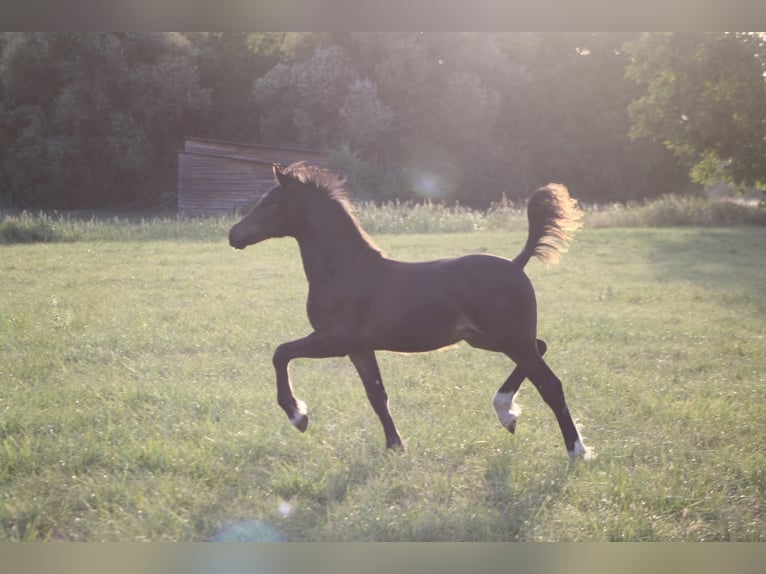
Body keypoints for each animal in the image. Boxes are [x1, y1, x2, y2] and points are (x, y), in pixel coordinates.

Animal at [229, 162, 591, 460]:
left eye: (270, 202)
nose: (233, 234)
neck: (342, 269)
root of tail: (517, 263)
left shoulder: (334, 340)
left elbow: (280, 353)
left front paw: (298, 416)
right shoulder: (360, 349)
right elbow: (377, 396)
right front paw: (395, 446)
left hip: (510, 338)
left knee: (551, 383)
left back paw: (576, 450)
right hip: (490, 339)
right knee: (540, 349)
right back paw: (507, 412)